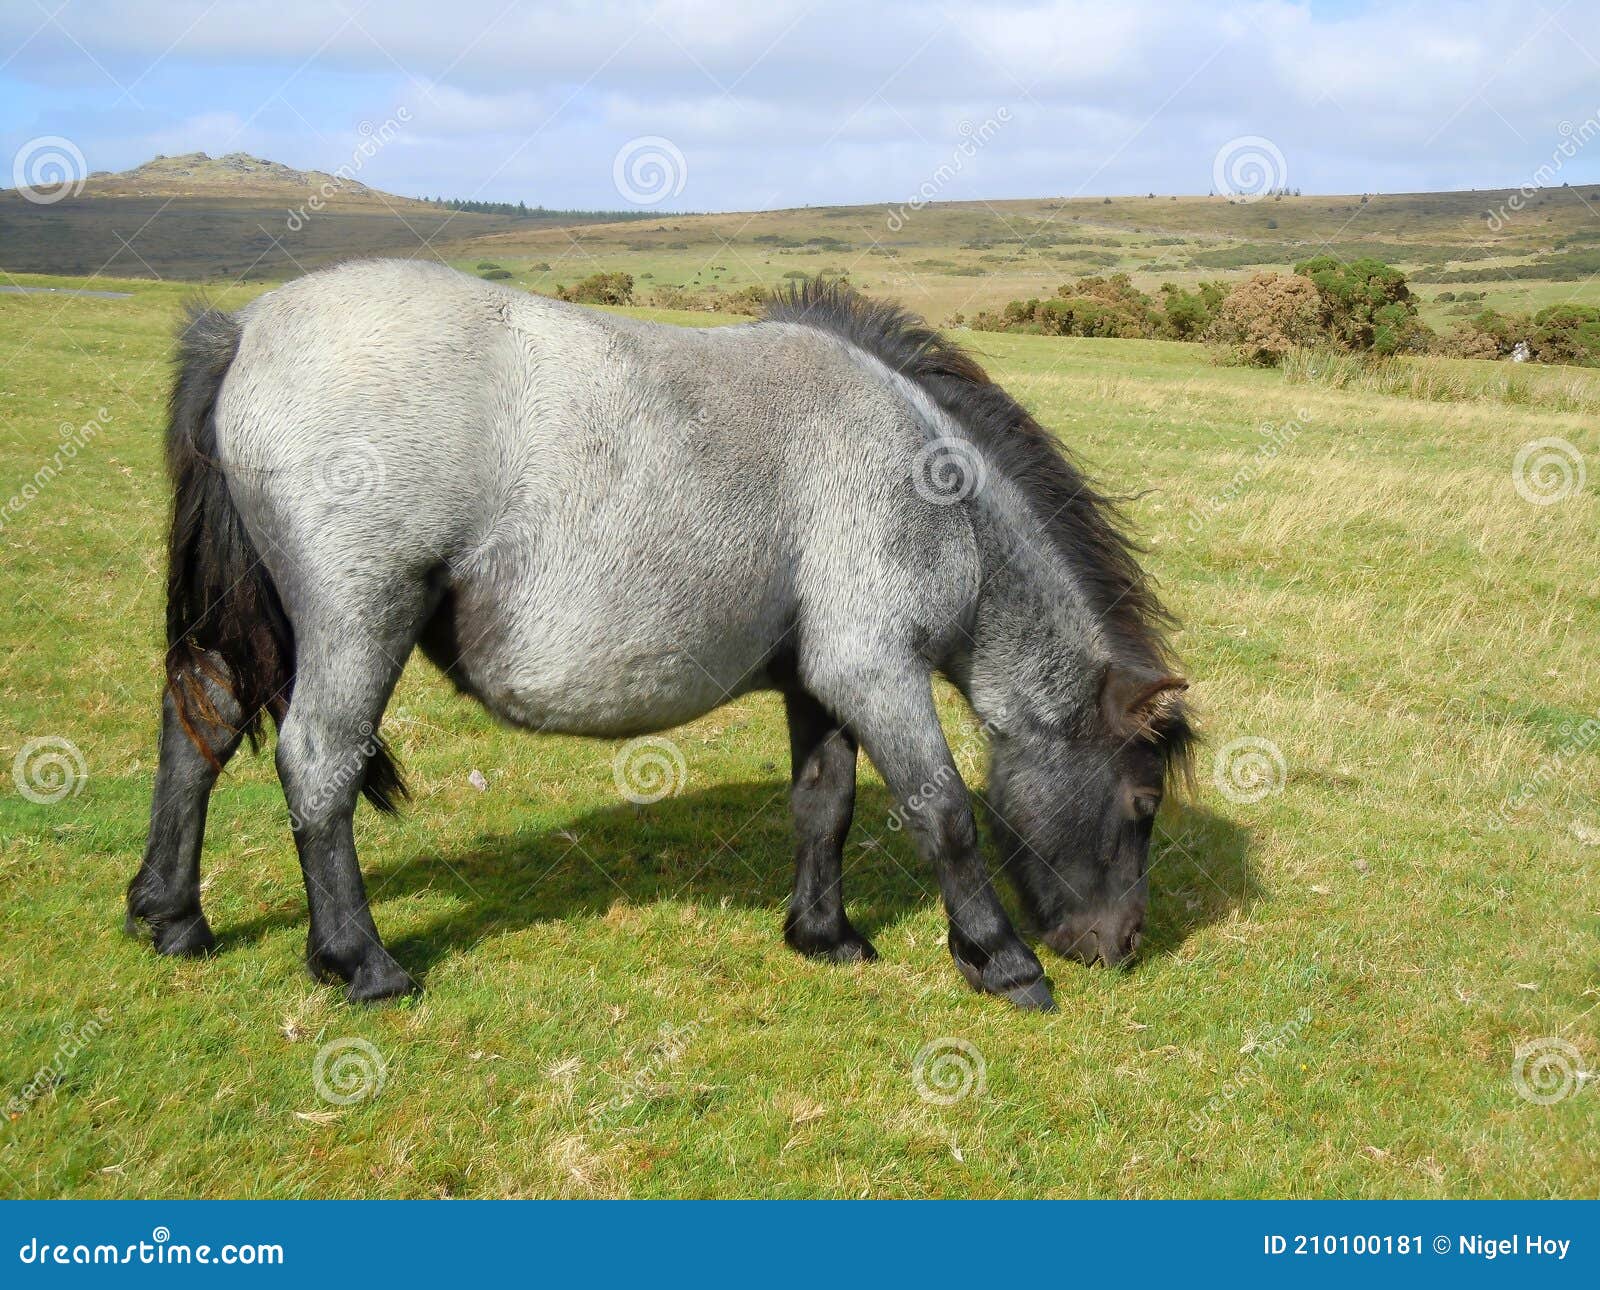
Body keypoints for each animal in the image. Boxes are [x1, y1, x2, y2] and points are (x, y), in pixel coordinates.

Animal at [126, 260, 1193, 1013]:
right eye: (1143, 805)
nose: (1123, 947)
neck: (933, 483)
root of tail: (245, 329)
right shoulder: (877, 672)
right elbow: (944, 811)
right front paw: (1003, 963)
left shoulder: (819, 682)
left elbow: (825, 804)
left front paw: (825, 935)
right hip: (359, 623)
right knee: (317, 766)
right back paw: (362, 963)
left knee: (199, 731)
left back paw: (172, 918)